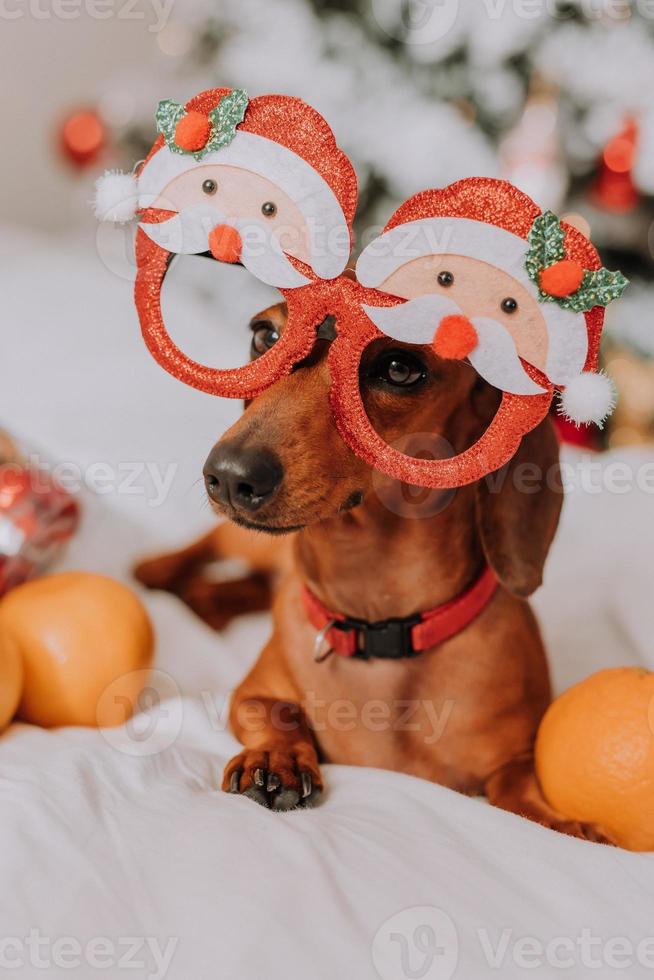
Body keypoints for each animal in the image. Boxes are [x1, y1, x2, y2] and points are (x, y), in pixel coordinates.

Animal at [136, 302, 612, 840]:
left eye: (399, 368)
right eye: (265, 335)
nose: (230, 475)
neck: (378, 624)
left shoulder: (515, 758)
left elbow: (519, 792)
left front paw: (568, 827)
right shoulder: (250, 694)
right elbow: (277, 711)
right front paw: (275, 760)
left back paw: (206, 603)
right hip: (248, 541)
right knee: (209, 544)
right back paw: (156, 569)